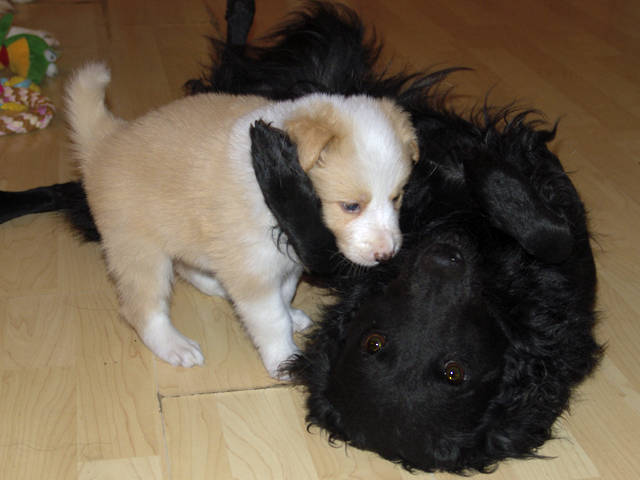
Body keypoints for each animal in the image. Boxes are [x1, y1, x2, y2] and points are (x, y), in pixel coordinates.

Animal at [64, 62, 417, 377]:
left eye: (397, 197)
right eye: (351, 206)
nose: (386, 255)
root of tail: (105, 141)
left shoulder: (283, 263)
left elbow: (284, 296)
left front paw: (292, 317)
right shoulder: (254, 268)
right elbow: (272, 319)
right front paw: (283, 359)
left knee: (187, 267)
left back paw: (217, 287)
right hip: (139, 250)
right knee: (143, 308)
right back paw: (175, 346)